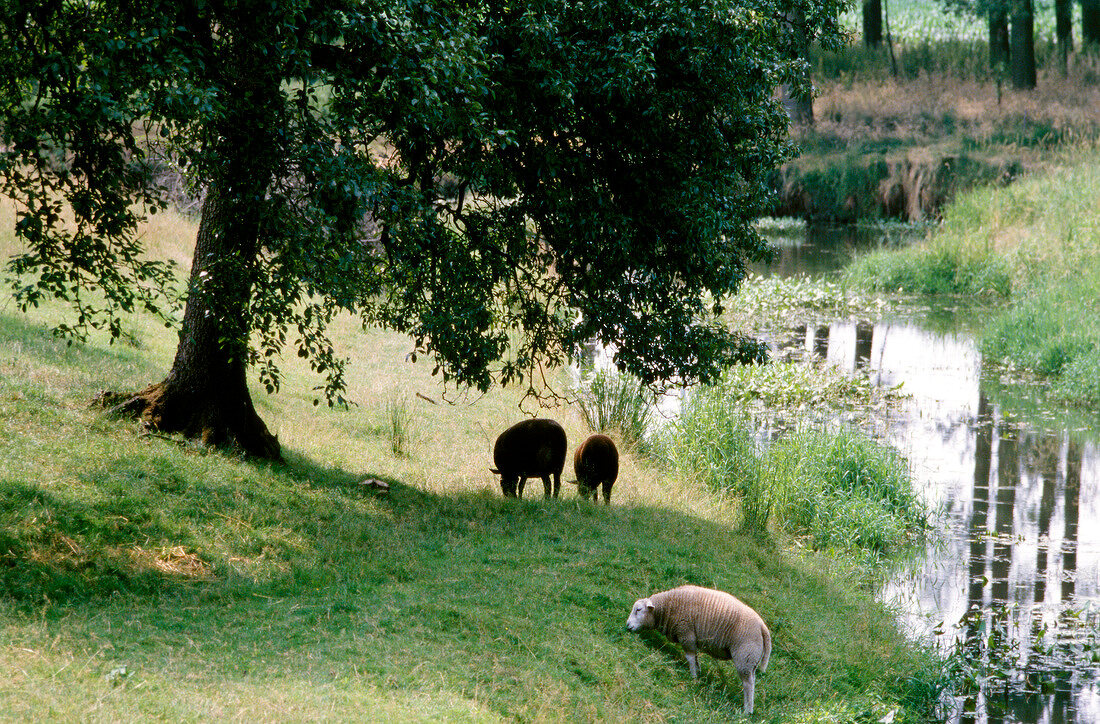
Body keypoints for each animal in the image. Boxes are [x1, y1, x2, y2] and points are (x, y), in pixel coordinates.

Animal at [629, 580, 774, 708]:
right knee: (752, 680)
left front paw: (693, 677)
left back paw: (746, 711)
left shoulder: (686, 633)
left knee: (748, 684)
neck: (668, 606)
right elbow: (696, 658)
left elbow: (690, 657)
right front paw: (698, 674)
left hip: (745, 655)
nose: (627, 626)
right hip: (751, 659)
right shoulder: (691, 639)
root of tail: (763, 627)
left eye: (638, 610)